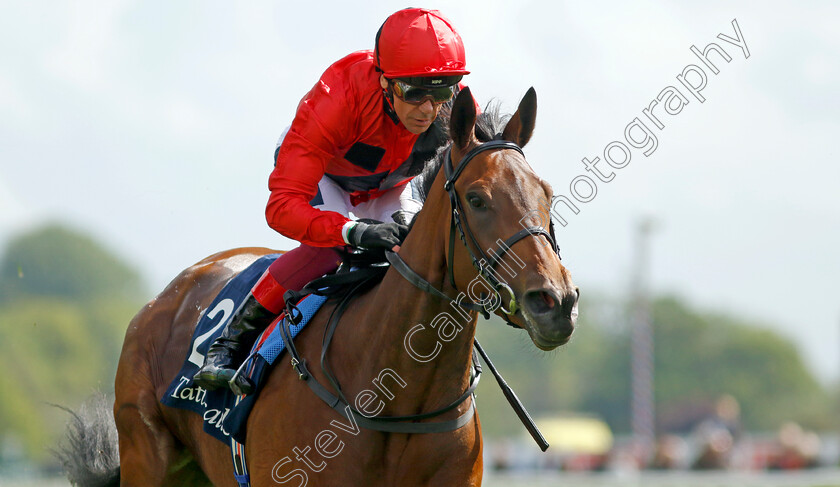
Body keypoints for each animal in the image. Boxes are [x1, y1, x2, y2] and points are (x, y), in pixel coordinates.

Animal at [64, 86, 576, 486]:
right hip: (145, 455)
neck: (396, 395)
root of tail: (162, 299)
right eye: (476, 198)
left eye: (546, 193)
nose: (554, 302)